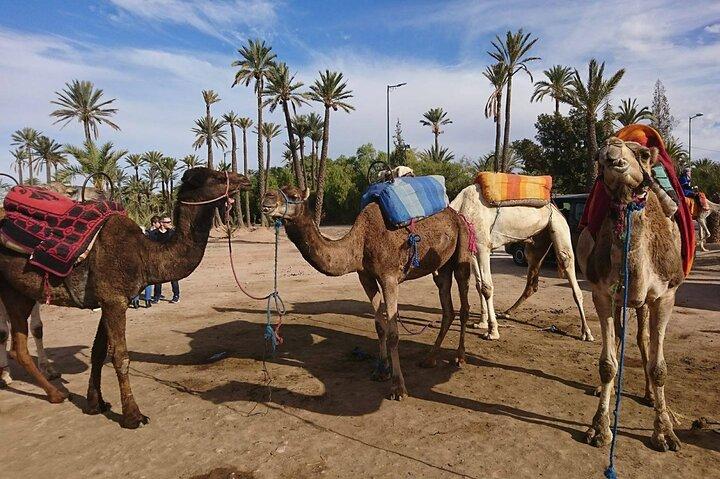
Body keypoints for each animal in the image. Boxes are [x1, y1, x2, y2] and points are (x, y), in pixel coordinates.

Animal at [0, 168, 251, 428]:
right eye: (218, 177)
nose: (245, 180)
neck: (144, 255)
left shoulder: (108, 301)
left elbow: (98, 352)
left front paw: (95, 404)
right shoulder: (114, 300)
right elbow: (120, 356)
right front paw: (133, 416)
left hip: (17, 291)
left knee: (19, 346)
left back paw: (54, 392)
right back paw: (51, 390)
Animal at [262, 186, 472, 400]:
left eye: (294, 196)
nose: (266, 199)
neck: (360, 243)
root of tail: (457, 216)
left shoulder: (389, 278)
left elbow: (394, 333)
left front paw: (398, 387)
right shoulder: (366, 277)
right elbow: (380, 326)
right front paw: (381, 371)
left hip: (462, 248)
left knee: (464, 303)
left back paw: (459, 357)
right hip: (441, 266)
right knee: (447, 307)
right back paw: (429, 359)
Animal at [449, 184, 593, 341]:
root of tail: (556, 208)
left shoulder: (483, 246)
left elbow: (486, 287)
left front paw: (492, 331)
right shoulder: (473, 249)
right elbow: (478, 284)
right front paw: (481, 323)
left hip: (558, 227)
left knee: (568, 265)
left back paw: (586, 333)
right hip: (536, 244)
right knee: (532, 282)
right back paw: (506, 312)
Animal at [577, 137, 684, 451]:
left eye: (644, 154)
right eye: (598, 157)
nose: (612, 153)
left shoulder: (665, 296)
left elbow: (659, 367)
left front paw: (664, 433)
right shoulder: (602, 293)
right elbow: (607, 364)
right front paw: (599, 429)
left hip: (644, 302)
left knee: (643, 338)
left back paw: (650, 396)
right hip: (622, 301)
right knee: (623, 337)